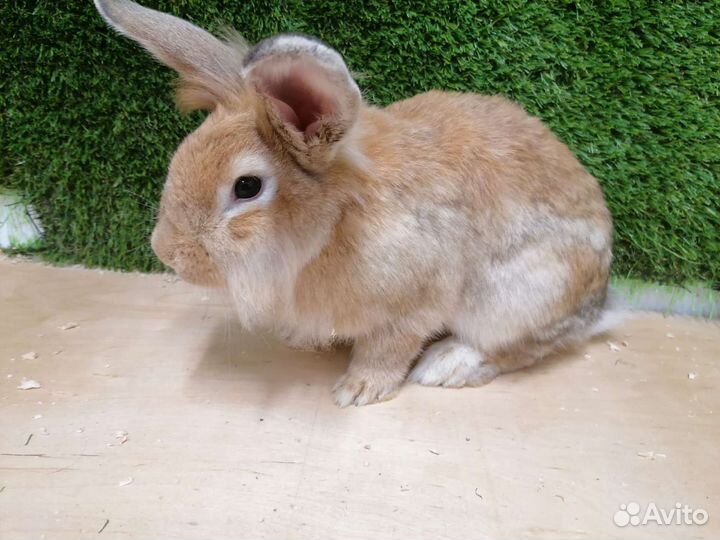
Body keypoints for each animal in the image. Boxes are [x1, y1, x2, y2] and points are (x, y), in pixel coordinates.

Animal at [95, 0, 614, 406]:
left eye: (246, 187)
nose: (165, 251)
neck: (337, 221)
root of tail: (597, 307)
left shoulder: (416, 302)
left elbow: (388, 348)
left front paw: (358, 390)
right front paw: (299, 339)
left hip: (520, 294)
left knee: (520, 348)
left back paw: (446, 365)